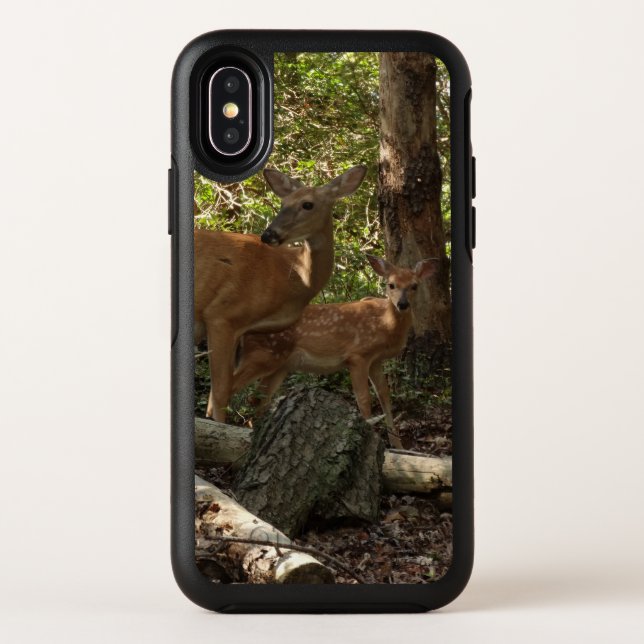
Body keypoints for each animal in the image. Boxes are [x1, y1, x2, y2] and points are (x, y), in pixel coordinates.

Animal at [194, 165, 367, 422]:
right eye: (283, 202)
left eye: (307, 204)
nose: (269, 235)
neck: (294, 274)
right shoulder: (221, 314)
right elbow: (221, 392)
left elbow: (217, 395)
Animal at [231, 255, 439, 448]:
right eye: (391, 285)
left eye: (414, 286)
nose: (402, 304)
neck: (384, 323)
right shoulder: (358, 355)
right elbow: (364, 399)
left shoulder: (376, 360)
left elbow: (384, 397)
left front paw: (398, 446)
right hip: (262, 355)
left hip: (279, 365)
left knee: (258, 399)